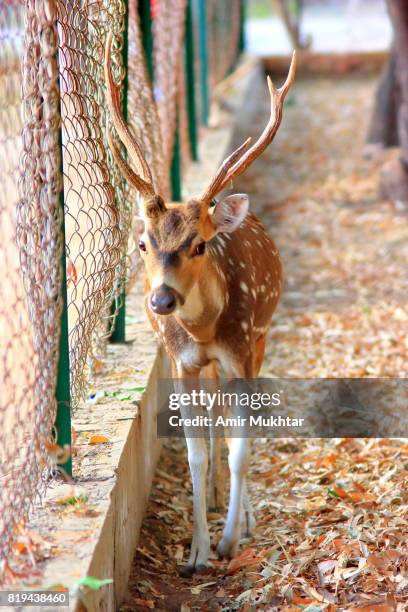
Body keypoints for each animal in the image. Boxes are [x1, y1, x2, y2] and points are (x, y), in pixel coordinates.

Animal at [104, 32, 296, 580]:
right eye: (143, 243)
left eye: (200, 245)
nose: (162, 299)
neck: (207, 331)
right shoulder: (181, 361)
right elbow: (195, 451)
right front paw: (195, 552)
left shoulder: (241, 349)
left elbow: (240, 446)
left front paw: (230, 539)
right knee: (214, 424)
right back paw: (212, 501)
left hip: (260, 337)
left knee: (234, 426)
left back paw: (241, 514)